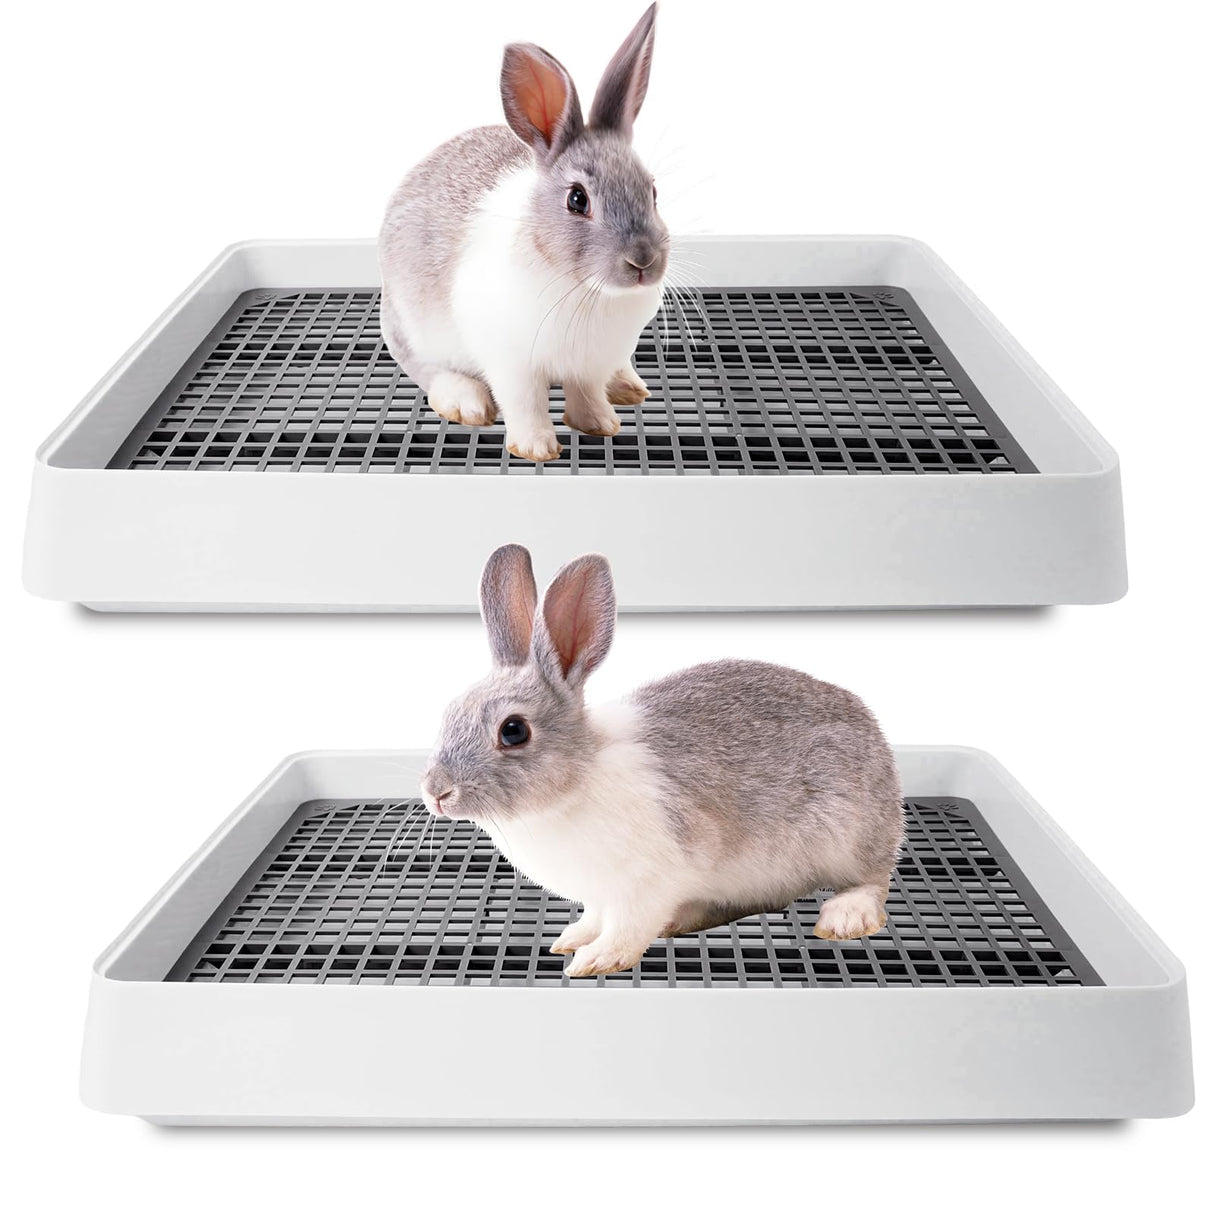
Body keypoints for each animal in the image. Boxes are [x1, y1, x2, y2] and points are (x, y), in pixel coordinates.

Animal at [377, 4, 669, 463]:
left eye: (653, 191)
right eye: (577, 199)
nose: (643, 261)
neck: (587, 290)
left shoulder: (590, 364)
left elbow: (586, 394)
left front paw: (600, 424)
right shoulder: (511, 363)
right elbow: (525, 403)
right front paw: (536, 449)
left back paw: (627, 386)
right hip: (413, 329)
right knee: (426, 368)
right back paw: (466, 401)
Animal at [419, 544, 906, 978]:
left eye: (514, 731)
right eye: (450, 711)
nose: (436, 791)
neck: (576, 780)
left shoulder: (646, 883)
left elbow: (627, 928)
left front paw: (597, 959)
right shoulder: (602, 895)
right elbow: (595, 917)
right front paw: (572, 938)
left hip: (848, 835)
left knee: (873, 880)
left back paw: (844, 917)